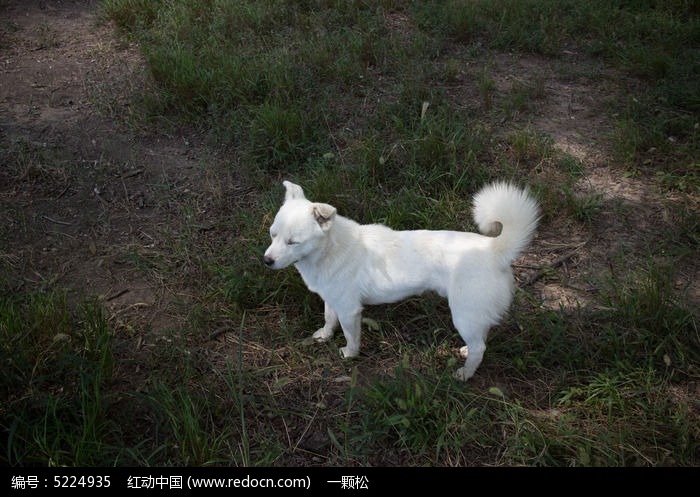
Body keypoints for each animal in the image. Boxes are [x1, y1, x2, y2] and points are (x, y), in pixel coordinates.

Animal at [266, 180, 540, 378]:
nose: (267, 261)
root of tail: (495, 250)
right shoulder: (332, 300)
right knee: (480, 338)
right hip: (473, 313)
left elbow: (351, 336)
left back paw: (464, 374)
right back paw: (465, 351)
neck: (329, 248)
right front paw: (324, 336)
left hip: (463, 313)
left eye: (293, 242)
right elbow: (328, 319)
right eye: (272, 234)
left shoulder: (349, 310)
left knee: (480, 348)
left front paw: (349, 354)